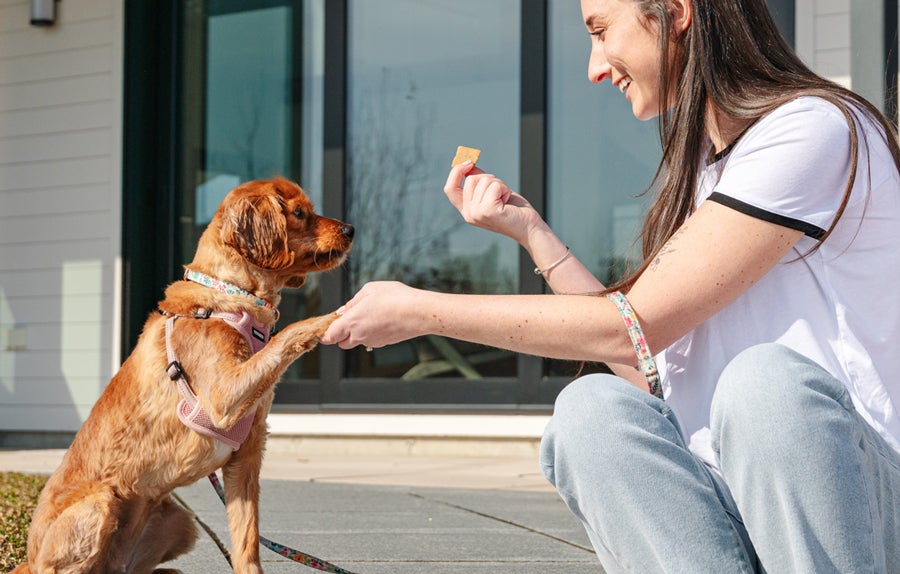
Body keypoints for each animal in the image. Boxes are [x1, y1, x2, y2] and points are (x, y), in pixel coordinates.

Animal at [14, 178, 352, 572]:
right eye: (299, 212)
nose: (350, 229)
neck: (229, 297)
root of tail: (28, 558)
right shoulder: (224, 399)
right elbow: (289, 334)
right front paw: (334, 317)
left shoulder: (246, 455)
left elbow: (247, 539)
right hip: (98, 505)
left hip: (180, 519)